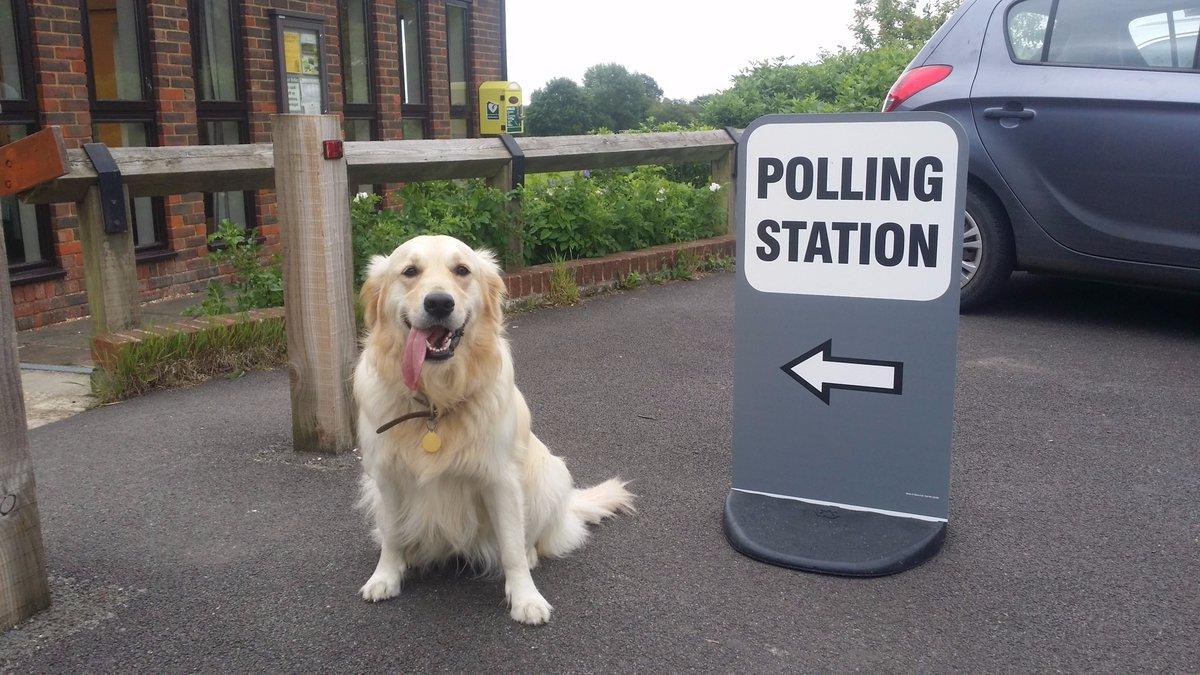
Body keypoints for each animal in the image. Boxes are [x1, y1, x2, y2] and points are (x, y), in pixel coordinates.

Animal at [350, 234, 633, 624]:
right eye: (409, 271)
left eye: (461, 270)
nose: (439, 302)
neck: (435, 402)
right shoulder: (386, 475)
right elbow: (391, 535)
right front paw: (386, 576)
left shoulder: (500, 479)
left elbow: (512, 546)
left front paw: (526, 598)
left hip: (548, 476)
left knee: (531, 540)